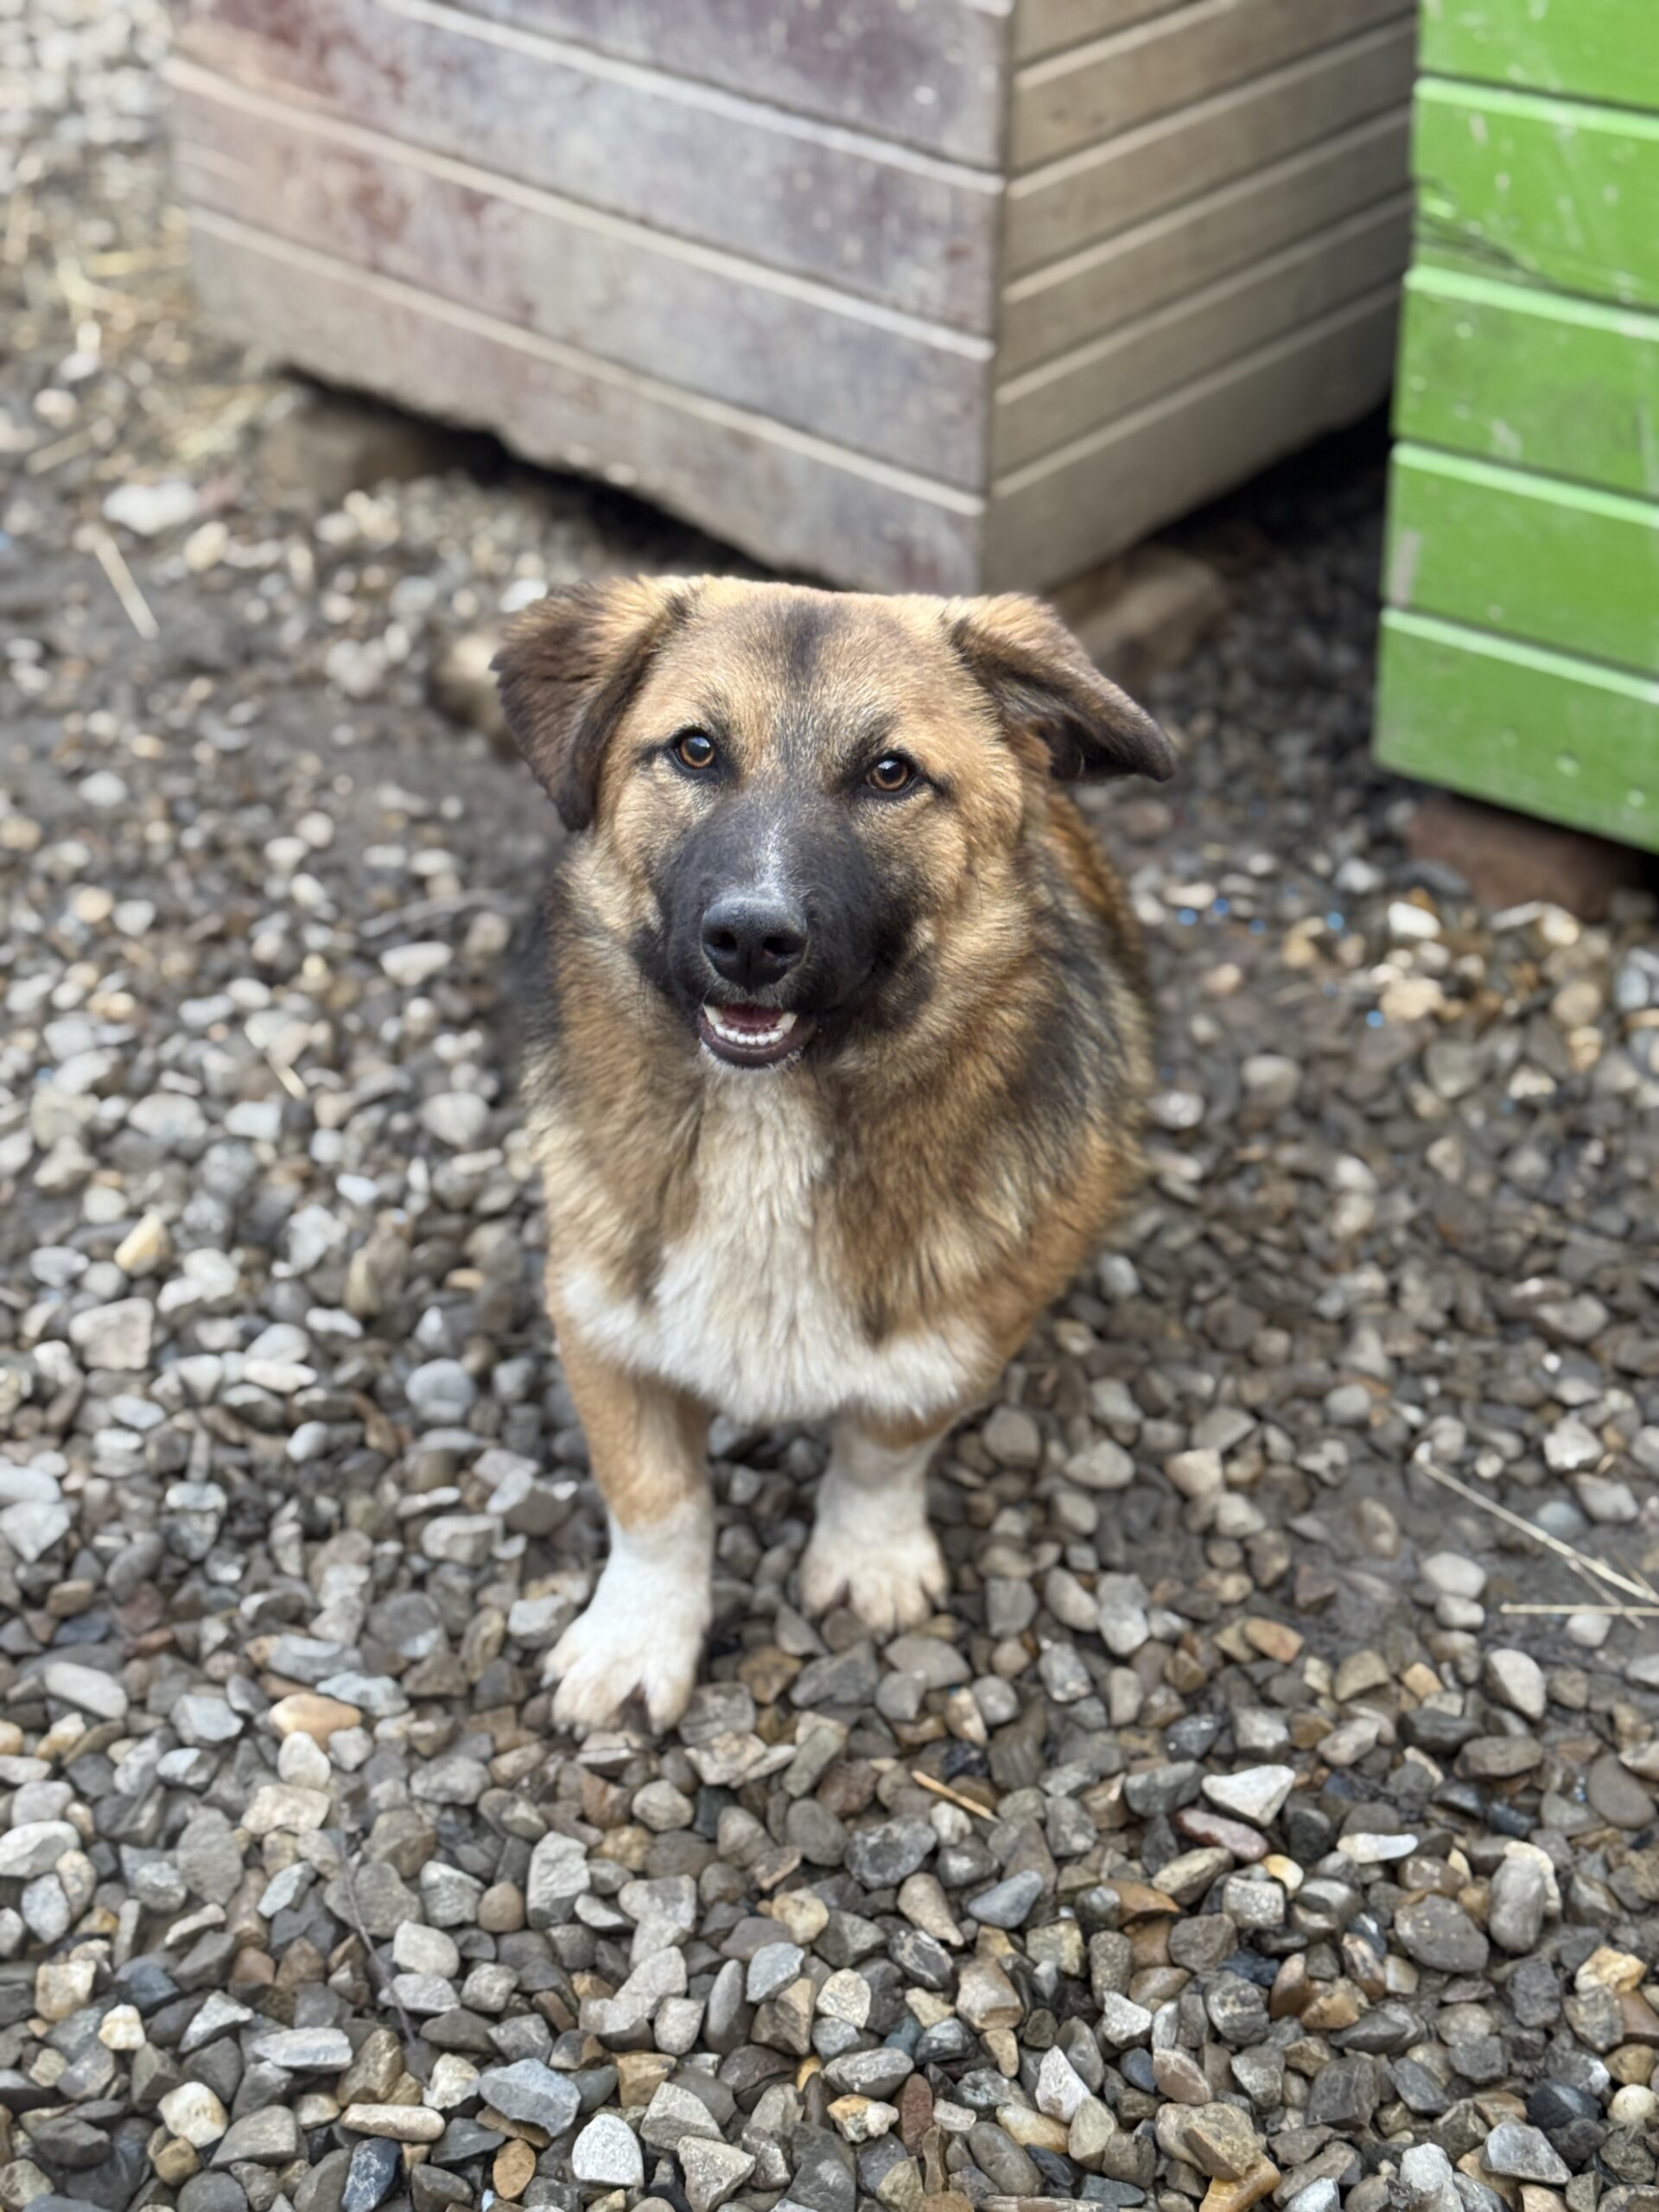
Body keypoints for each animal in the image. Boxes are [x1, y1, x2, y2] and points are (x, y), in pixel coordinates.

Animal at [492, 576, 1174, 1729]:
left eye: (890, 773)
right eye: (695, 751)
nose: (751, 940)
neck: (769, 1114)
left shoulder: (960, 1334)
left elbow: (879, 1449)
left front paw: (866, 1562)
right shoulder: (597, 1315)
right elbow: (656, 1499)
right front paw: (638, 1638)